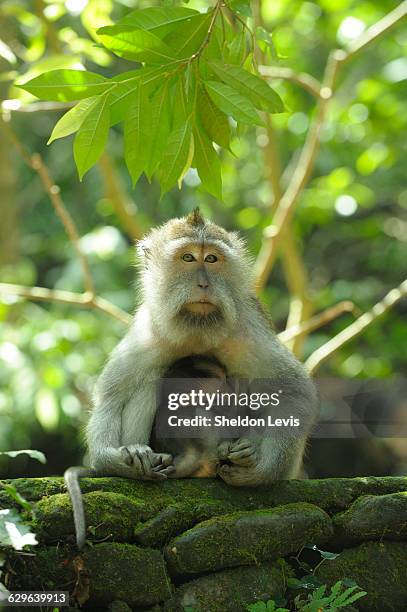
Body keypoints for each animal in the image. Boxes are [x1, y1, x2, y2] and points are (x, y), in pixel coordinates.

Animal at [86, 210, 318, 488]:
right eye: (188, 257)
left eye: (211, 259)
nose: (203, 285)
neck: (197, 328)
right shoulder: (146, 335)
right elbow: (111, 399)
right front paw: (117, 461)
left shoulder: (247, 329)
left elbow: (294, 391)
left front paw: (262, 471)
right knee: (148, 381)